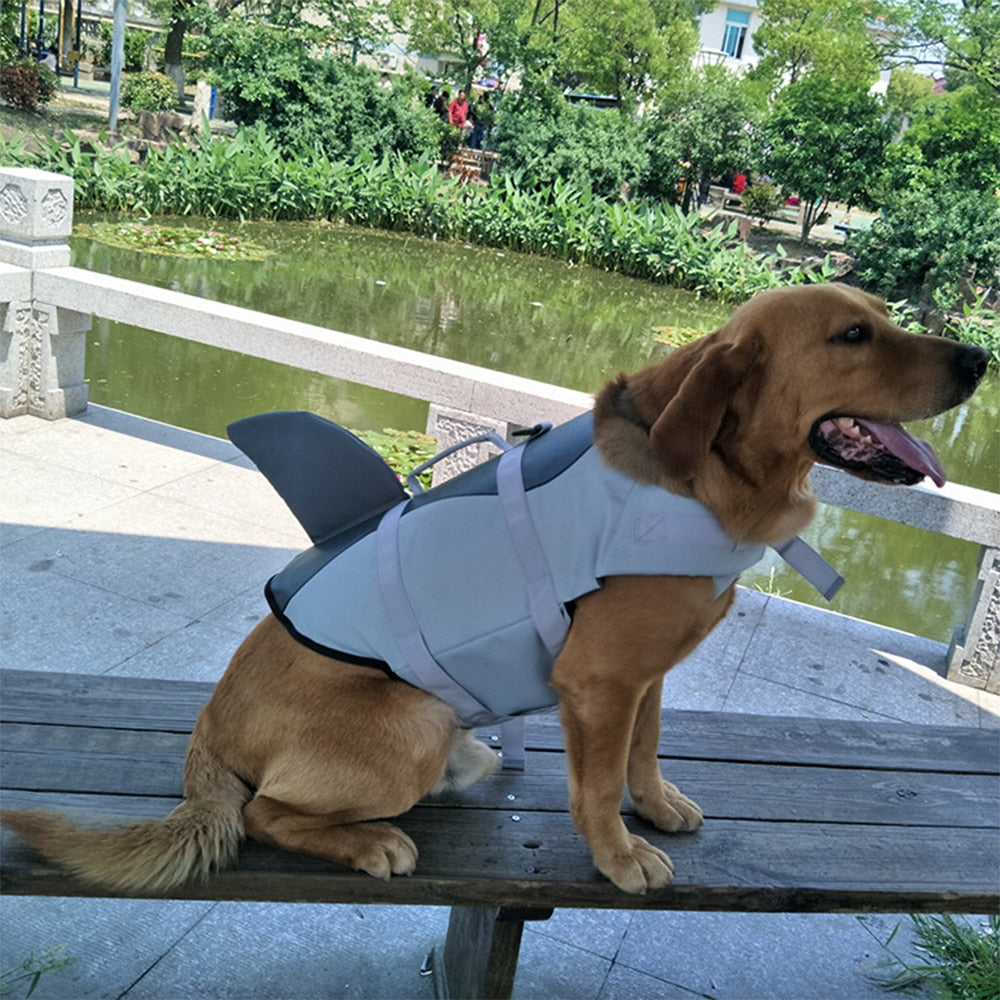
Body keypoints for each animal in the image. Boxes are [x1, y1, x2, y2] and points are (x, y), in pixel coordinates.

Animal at [0, 286, 984, 896]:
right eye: (851, 336)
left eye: (883, 318)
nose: (979, 358)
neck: (709, 473)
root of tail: (208, 726)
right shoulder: (598, 683)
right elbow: (595, 786)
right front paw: (617, 856)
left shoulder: (648, 678)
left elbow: (643, 754)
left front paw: (657, 807)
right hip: (414, 720)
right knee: (263, 813)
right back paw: (371, 840)